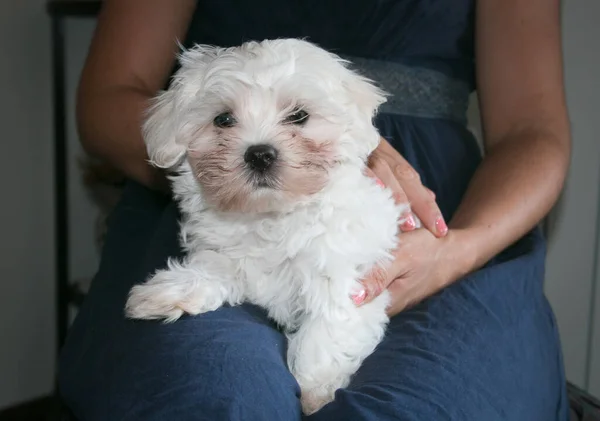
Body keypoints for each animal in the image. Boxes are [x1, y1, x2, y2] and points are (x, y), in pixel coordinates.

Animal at [124, 38, 410, 414]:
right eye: (223, 119)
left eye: (299, 116)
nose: (259, 154)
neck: (269, 216)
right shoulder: (225, 250)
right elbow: (215, 267)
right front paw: (172, 291)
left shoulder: (346, 277)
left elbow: (326, 333)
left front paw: (314, 391)